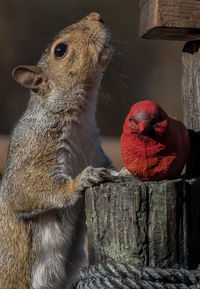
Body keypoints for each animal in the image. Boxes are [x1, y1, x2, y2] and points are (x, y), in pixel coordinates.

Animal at [0, 12, 115, 288]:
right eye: (60, 50)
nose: (97, 17)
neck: (80, 116)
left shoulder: (97, 152)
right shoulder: (33, 149)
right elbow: (25, 189)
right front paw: (80, 180)